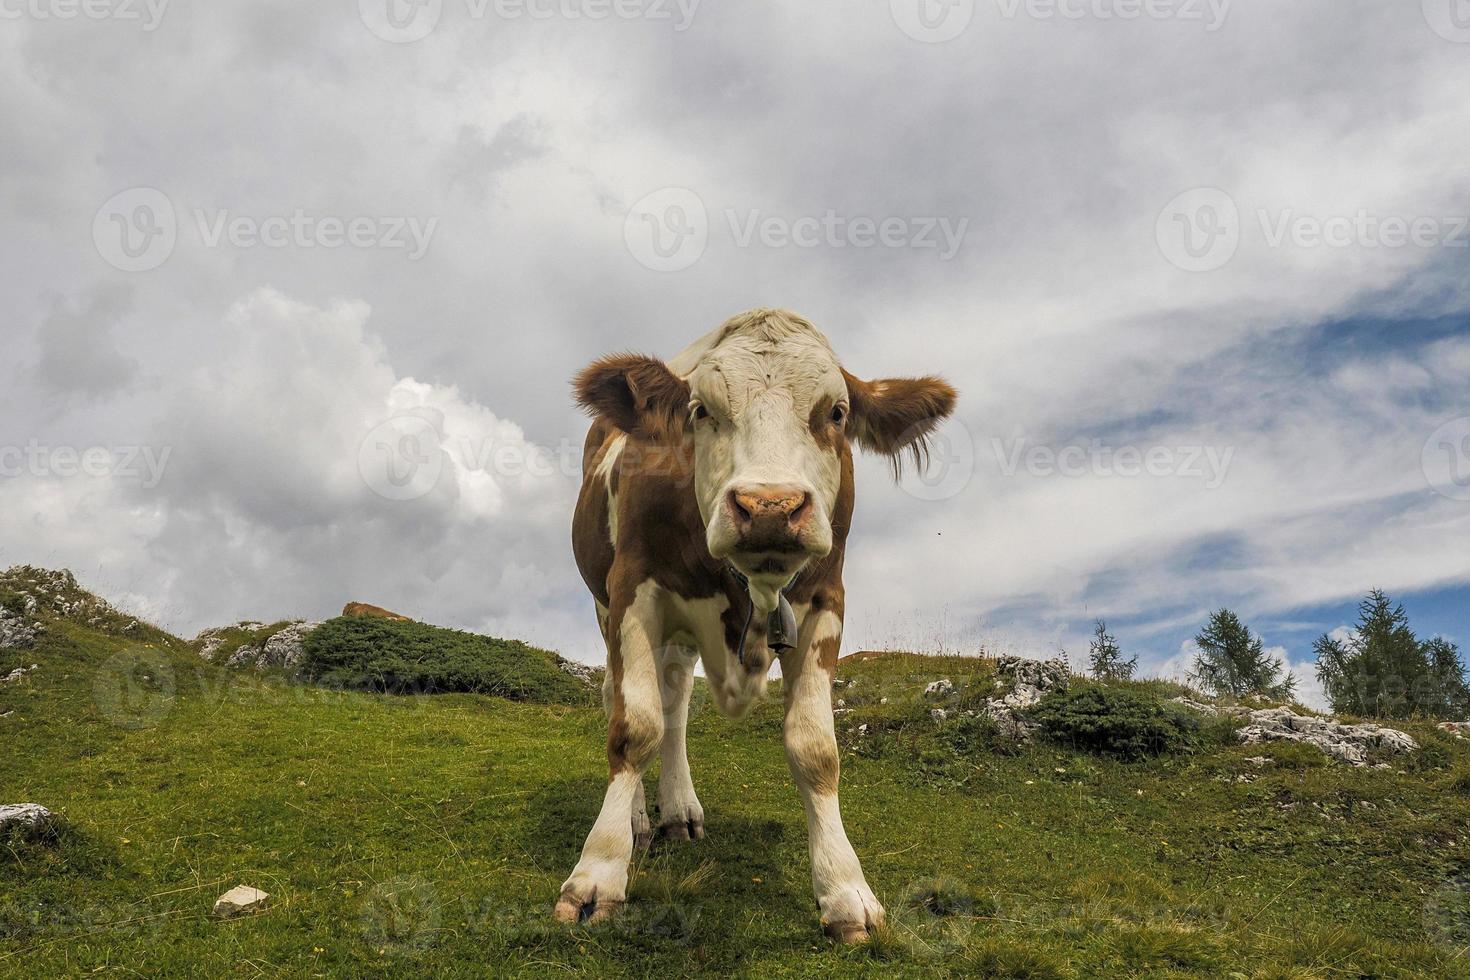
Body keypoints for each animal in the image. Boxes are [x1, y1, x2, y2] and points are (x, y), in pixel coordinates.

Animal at [555, 304, 958, 940]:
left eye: (836, 412)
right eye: (700, 410)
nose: (770, 507)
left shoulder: (825, 601)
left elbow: (816, 749)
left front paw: (846, 891)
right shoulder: (632, 592)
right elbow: (633, 726)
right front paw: (597, 874)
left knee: (675, 702)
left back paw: (679, 810)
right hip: (605, 605)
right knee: (624, 698)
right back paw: (639, 821)